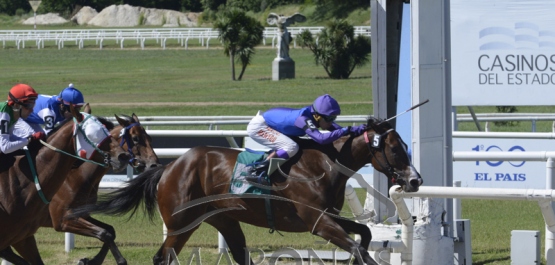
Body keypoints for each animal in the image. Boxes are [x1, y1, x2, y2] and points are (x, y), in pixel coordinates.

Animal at [73, 117, 422, 264]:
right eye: (395, 148)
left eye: (405, 145)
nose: (415, 181)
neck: (325, 163)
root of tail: (169, 168)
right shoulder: (318, 222)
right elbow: (358, 248)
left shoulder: (327, 216)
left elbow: (364, 233)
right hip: (180, 223)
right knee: (162, 258)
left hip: (223, 220)